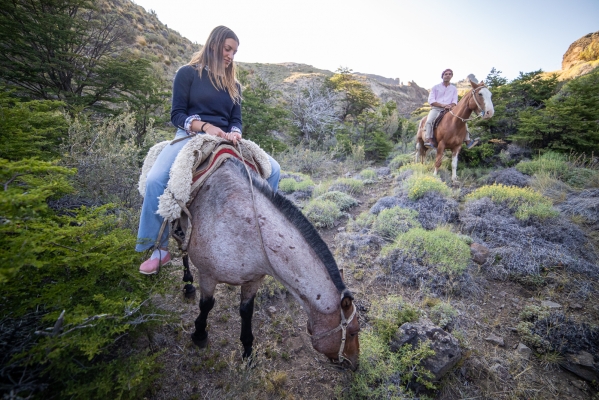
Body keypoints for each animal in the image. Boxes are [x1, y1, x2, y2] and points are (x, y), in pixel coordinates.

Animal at [179, 158, 360, 370]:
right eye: (353, 332)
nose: (356, 364)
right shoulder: (207, 275)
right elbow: (206, 305)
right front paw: (199, 334)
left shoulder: (253, 279)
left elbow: (246, 311)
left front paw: (248, 352)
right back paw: (188, 284)